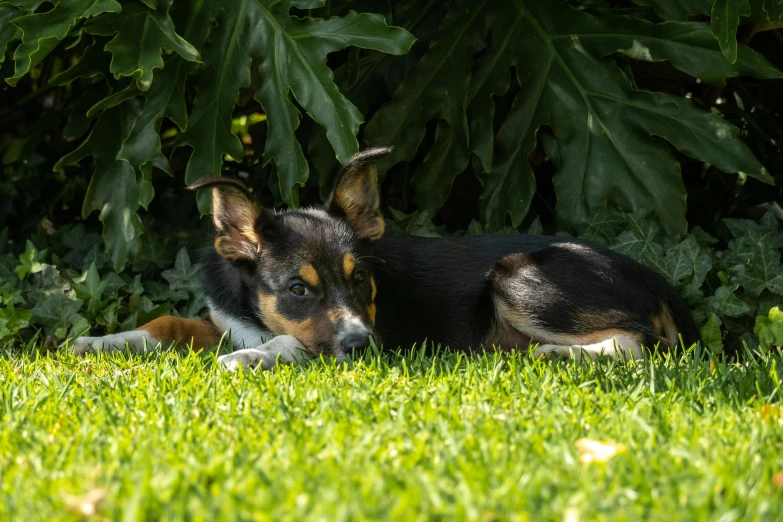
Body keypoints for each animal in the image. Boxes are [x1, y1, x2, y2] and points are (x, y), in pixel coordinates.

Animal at [69, 146, 700, 366]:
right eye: (297, 289)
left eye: (361, 281)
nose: (361, 345)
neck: (253, 311)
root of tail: (662, 282)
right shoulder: (225, 320)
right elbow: (165, 321)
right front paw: (101, 343)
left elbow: (291, 343)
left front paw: (251, 359)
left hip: (518, 275)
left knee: (641, 343)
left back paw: (553, 353)